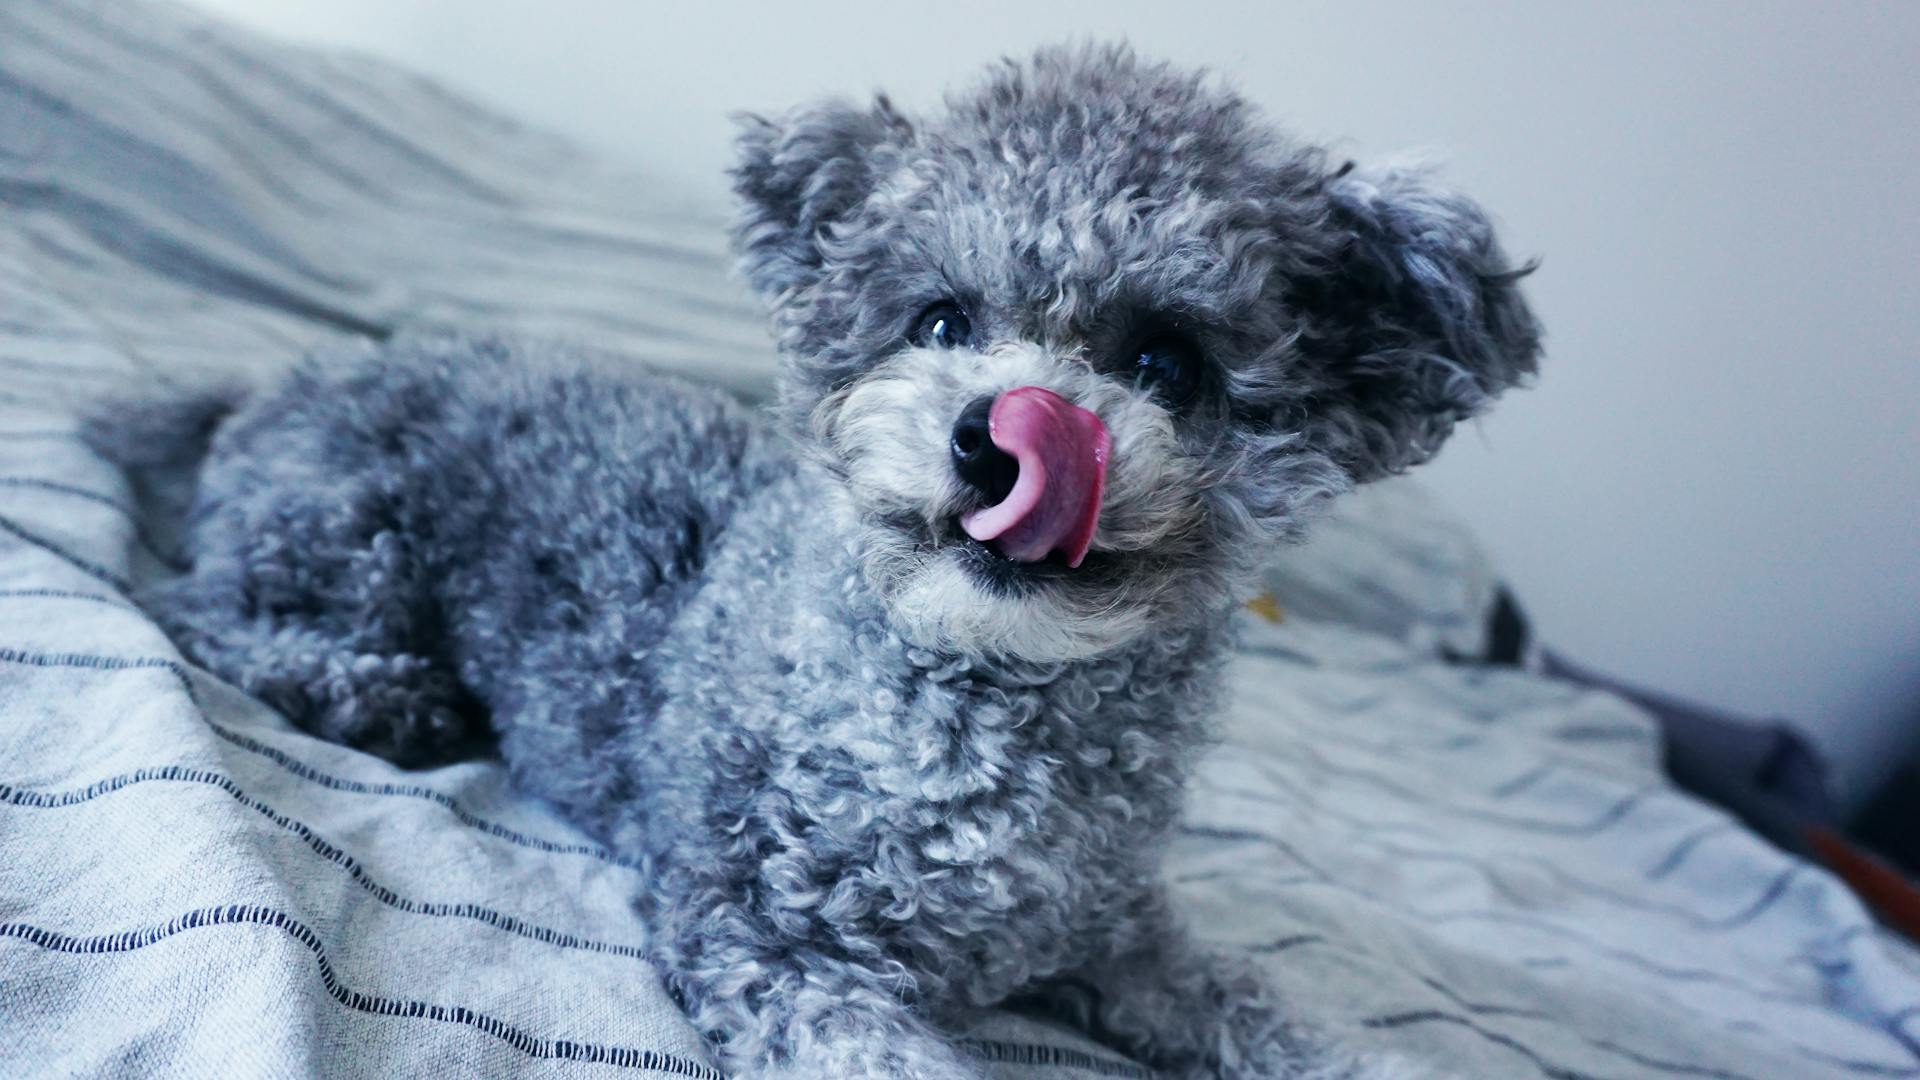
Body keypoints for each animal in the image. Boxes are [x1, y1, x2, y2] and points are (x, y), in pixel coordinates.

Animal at [90, 44, 1536, 1076]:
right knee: (200, 606)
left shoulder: (1120, 937)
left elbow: (1252, 1004)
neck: (981, 715)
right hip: (349, 531)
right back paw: (383, 690)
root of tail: (282, 384)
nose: (997, 438)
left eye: (1166, 363)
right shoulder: (771, 936)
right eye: (940, 321)